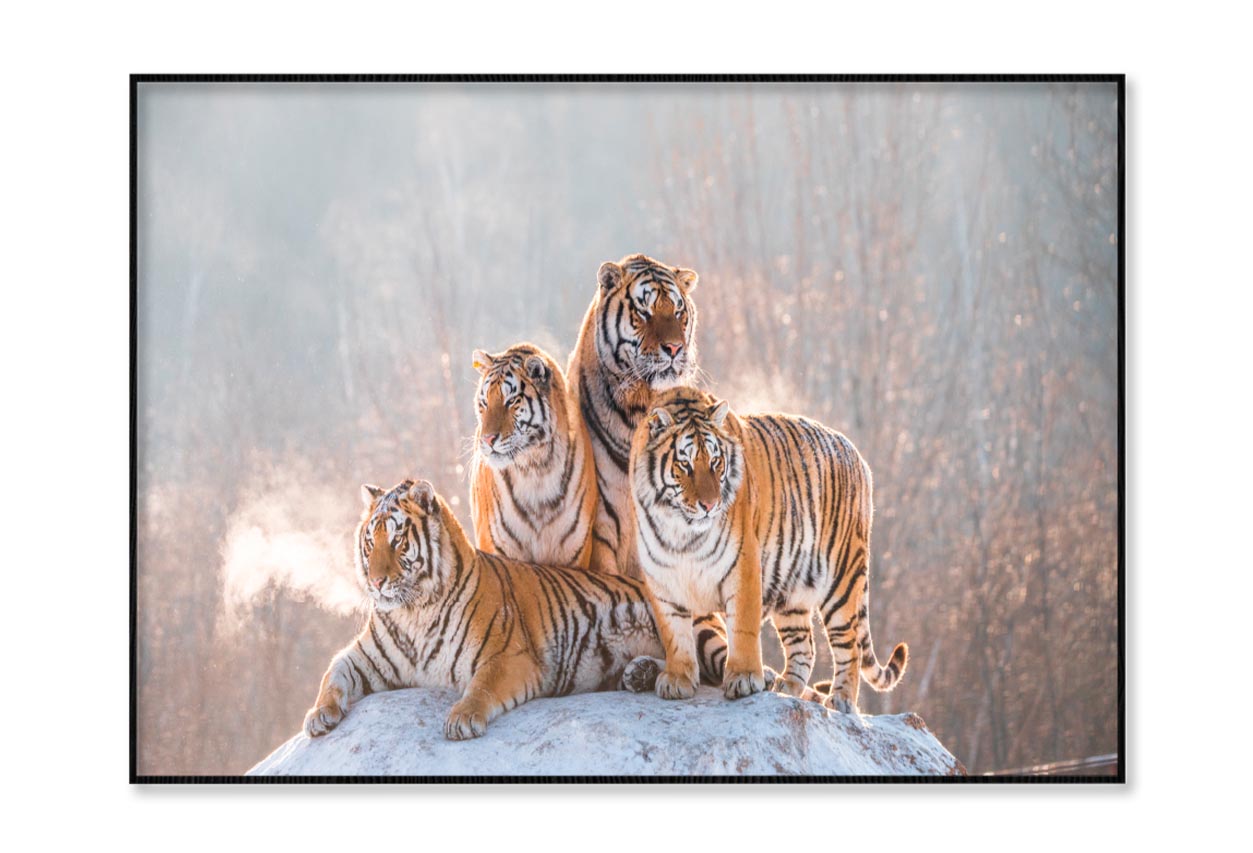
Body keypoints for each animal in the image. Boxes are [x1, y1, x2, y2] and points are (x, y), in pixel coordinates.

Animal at [302, 478, 665, 741]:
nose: (376, 582)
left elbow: (483, 685)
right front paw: (318, 715)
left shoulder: (509, 656)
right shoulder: (365, 656)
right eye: (369, 542)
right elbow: (331, 675)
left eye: (397, 541)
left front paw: (462, 719)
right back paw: (639, 673)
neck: (413, 613)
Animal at [628, 386, 909, 715]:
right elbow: (675, 633)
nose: (710, 505)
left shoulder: (743, 566)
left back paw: (840, 699)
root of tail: (856, 453)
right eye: (685, 464)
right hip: (793, 591)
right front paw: (677, 679)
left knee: (848, 643)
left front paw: (745, 679)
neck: (681, 531)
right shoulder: (662, 579)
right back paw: (785, 688)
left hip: (842, 577)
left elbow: (742, 629)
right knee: (805, 647)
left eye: (715, 462)